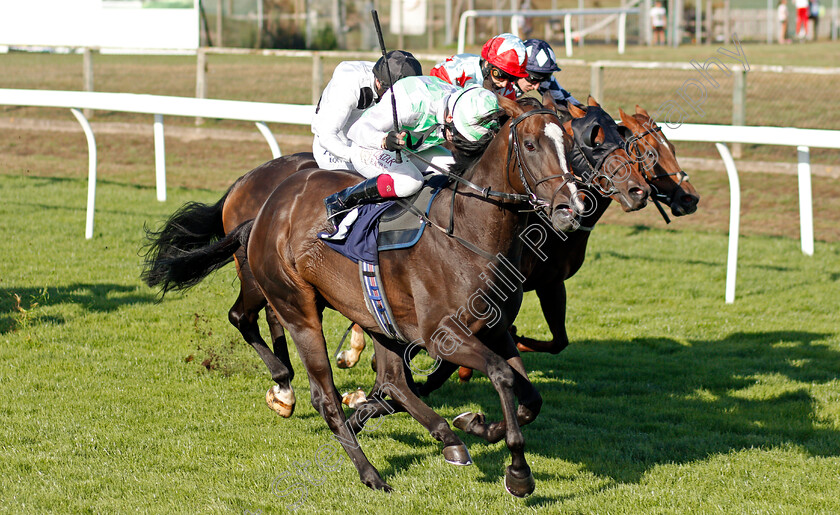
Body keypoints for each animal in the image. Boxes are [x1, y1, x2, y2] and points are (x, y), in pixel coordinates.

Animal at [143, 95, 584, 496]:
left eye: (570, 142)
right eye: (530, 144)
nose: (571, 207)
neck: (468, 234)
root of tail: (266, 207)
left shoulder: (494, 329)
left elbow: (530, 397)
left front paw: (477, 425)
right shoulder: (441, 334)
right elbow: (502, 374)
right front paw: (518, 473)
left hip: (373, 314)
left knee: (392, 381)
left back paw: (445, 438)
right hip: (297, 306)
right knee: (323, 394)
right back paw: (369, 471)